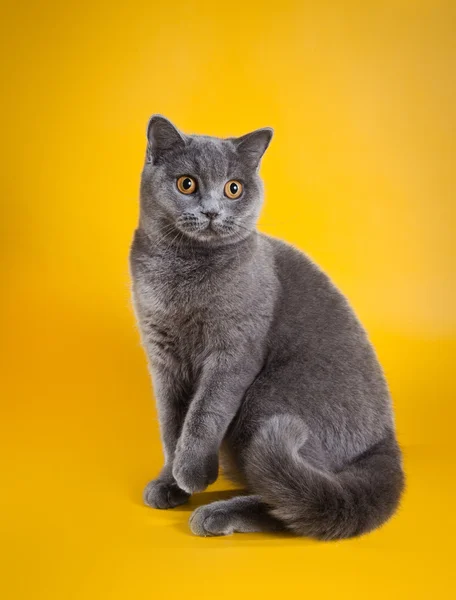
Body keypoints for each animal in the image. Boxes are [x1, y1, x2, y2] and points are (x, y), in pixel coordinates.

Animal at [128, 115, 402, 540]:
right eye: (186, 183)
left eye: (233, 188)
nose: (212, 211)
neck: (183, 267)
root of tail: (385, 443)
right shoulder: (162, 354)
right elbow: (171, 422)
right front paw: (170, 481)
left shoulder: (234, 350)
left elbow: (204, 412)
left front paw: (191, 473)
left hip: (268, 399)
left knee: (288, 502)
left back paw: (216, 514)